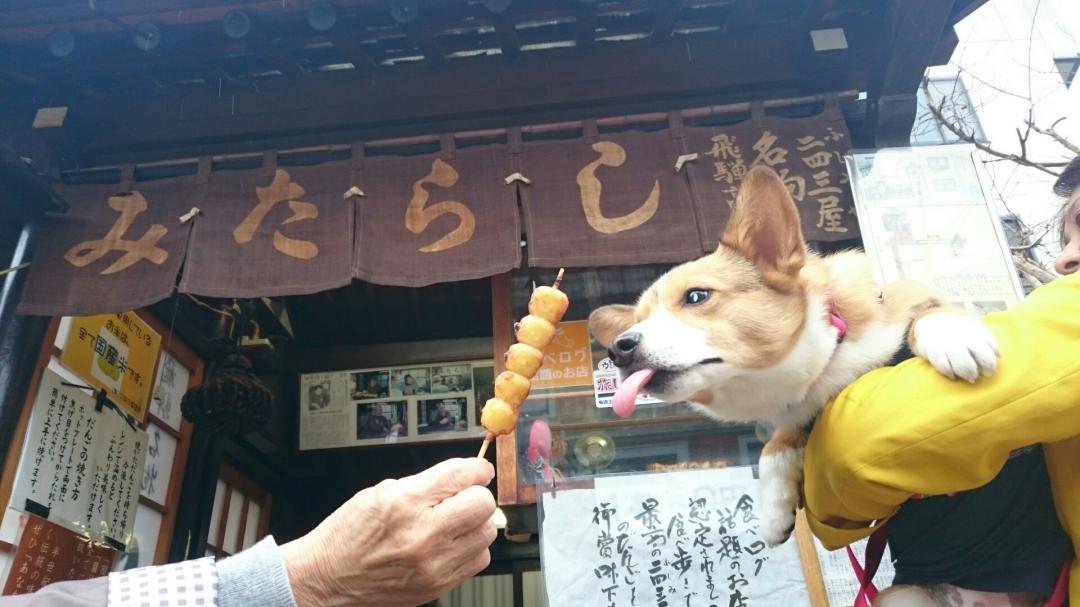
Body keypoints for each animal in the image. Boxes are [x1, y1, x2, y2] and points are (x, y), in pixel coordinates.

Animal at [587, 164, 997, 544]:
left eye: (696, 296)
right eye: (639, 320)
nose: (619, 348)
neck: (831, 354)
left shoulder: (906, 300)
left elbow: (929, 309)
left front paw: (954, 336)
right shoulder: (803, 415)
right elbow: (774, 444)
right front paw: (772, 512)